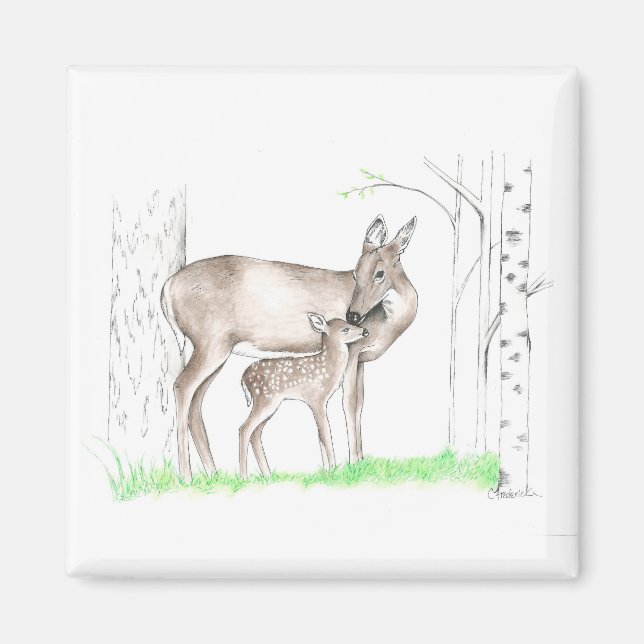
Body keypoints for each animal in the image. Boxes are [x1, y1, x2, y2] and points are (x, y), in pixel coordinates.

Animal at [239, 314, 368, 478]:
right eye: (345, 329)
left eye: (349, 323)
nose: (365, 331)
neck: (328, 368)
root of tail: (243, 378)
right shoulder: (316, 398)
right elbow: (326, 432)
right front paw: (333, 468)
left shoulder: (318, 402)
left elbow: (320, 436)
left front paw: (326, 471)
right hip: (265, 398)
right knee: (244, 429)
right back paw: (244, 476)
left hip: (270, 403)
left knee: (255, 433)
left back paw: (267, 475)